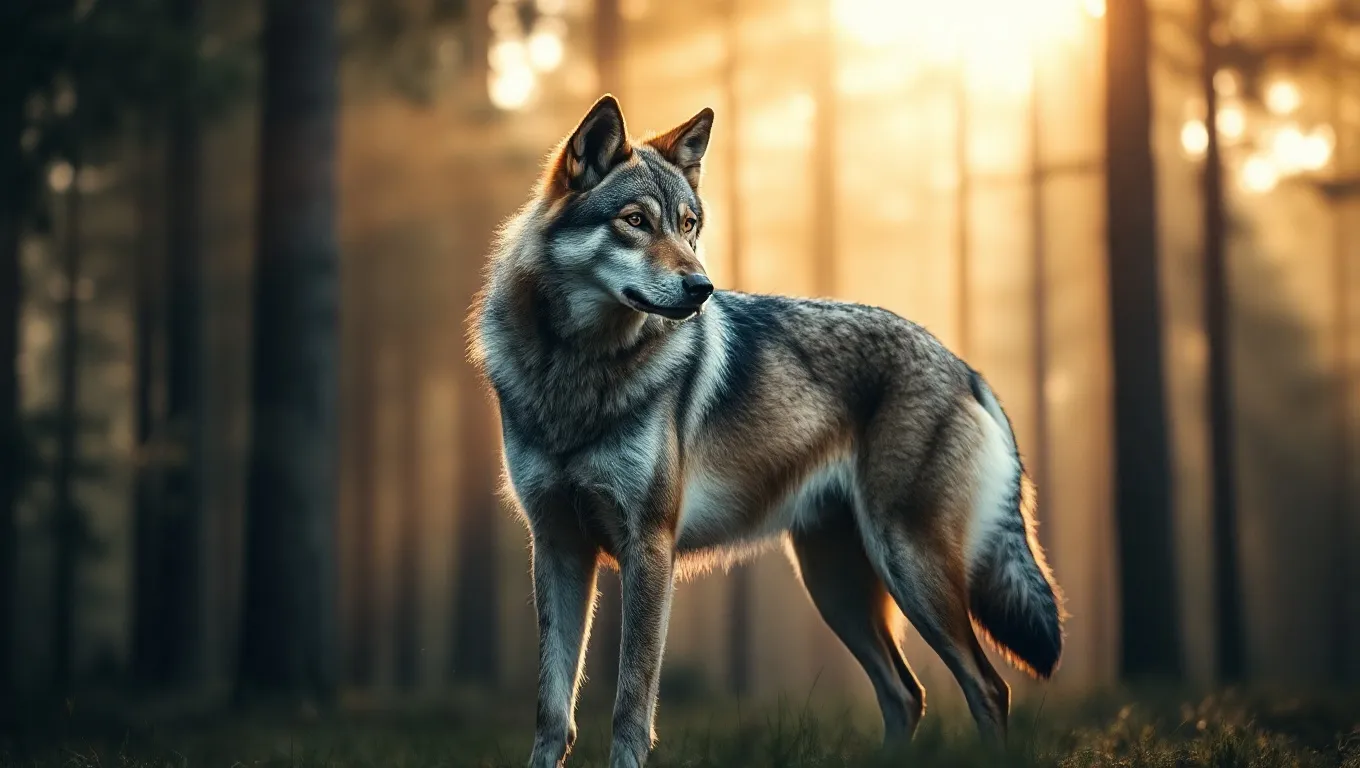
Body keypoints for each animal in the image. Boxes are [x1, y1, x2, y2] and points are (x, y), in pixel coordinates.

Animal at [469, 95, 1065, 768]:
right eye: (635, 221)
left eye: (689, 225)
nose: (702, 288)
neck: (576, 370)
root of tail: (964, 366)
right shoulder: (558, 545)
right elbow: (552, 709)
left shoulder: (649, 547)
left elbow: (630, 706)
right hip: (836, 587)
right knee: (906, 694)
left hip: (909, 571)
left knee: (988, 689)